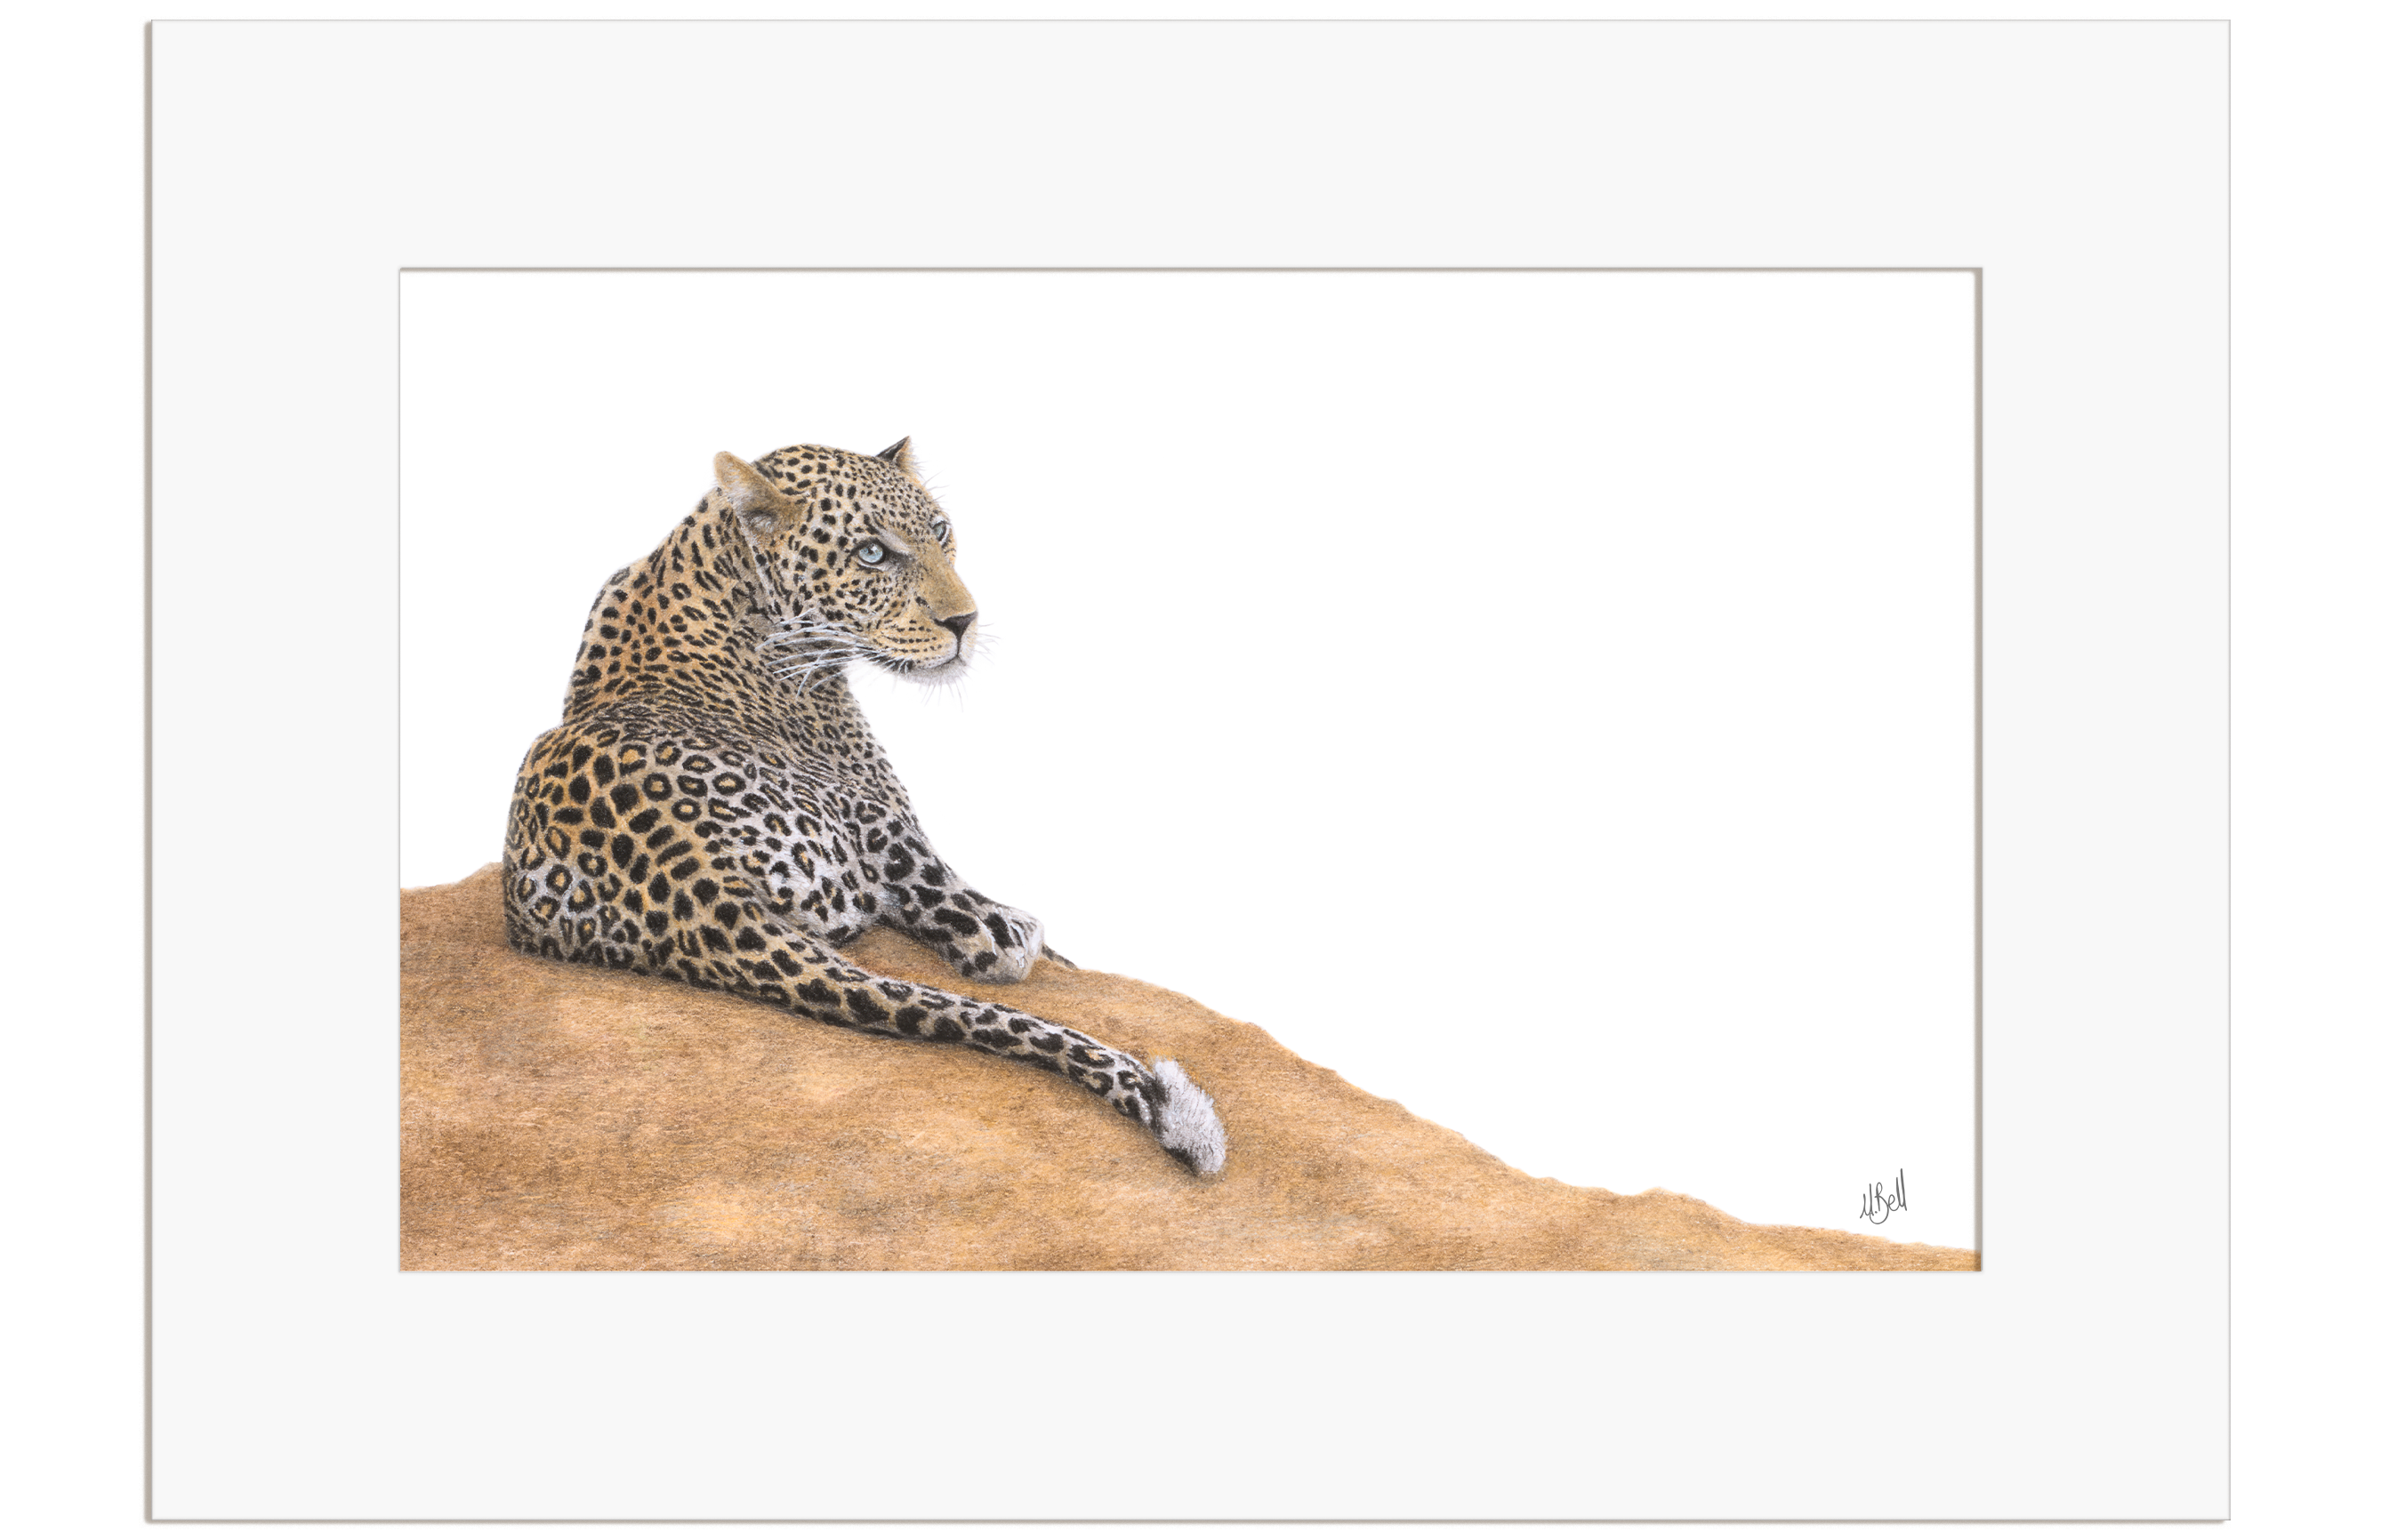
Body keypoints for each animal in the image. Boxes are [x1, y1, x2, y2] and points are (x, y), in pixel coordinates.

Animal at [500, 438, 1228, 1174]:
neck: (706, 566)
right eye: (872, 554)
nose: (963, 622)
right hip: (869, 830)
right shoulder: (884, 807)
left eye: (940, 532)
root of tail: (693, 888)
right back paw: (1014, 931)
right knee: (978, 937)